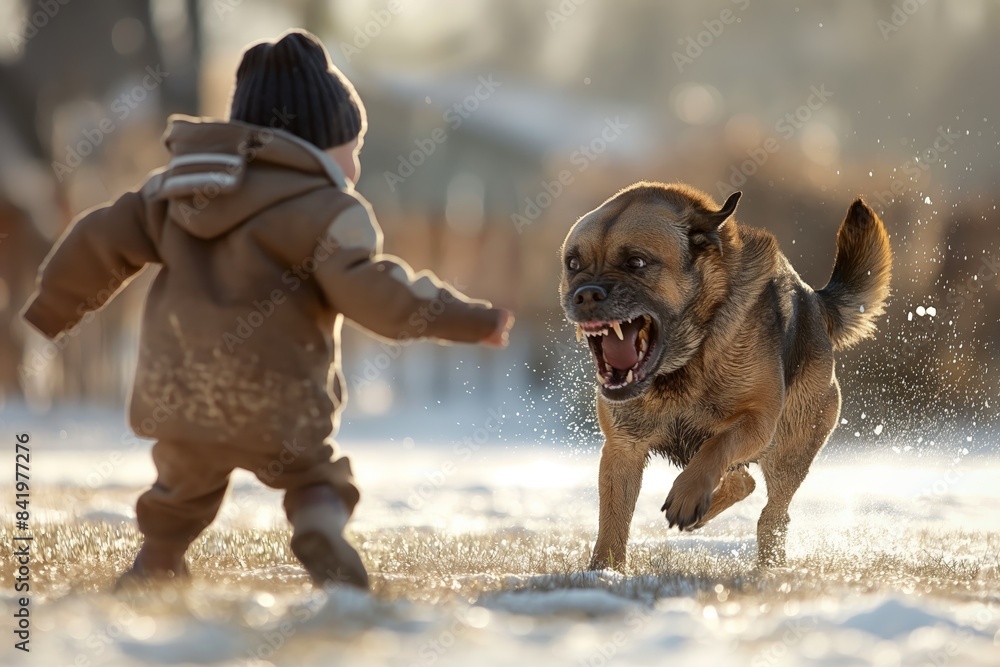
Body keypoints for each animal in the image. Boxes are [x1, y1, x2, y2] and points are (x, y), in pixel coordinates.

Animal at [560, 181, 896, 568]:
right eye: (573, 264)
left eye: (636, 262)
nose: (585, 294)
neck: (686, 360)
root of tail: (815, 300)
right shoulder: (622, 446)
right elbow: (612, 524)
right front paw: (603, 573)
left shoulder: (758, 421)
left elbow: (718, 446)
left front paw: (689, 493)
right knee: (744, 483)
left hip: (790, 449)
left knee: (773, 514)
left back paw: (765, 561)